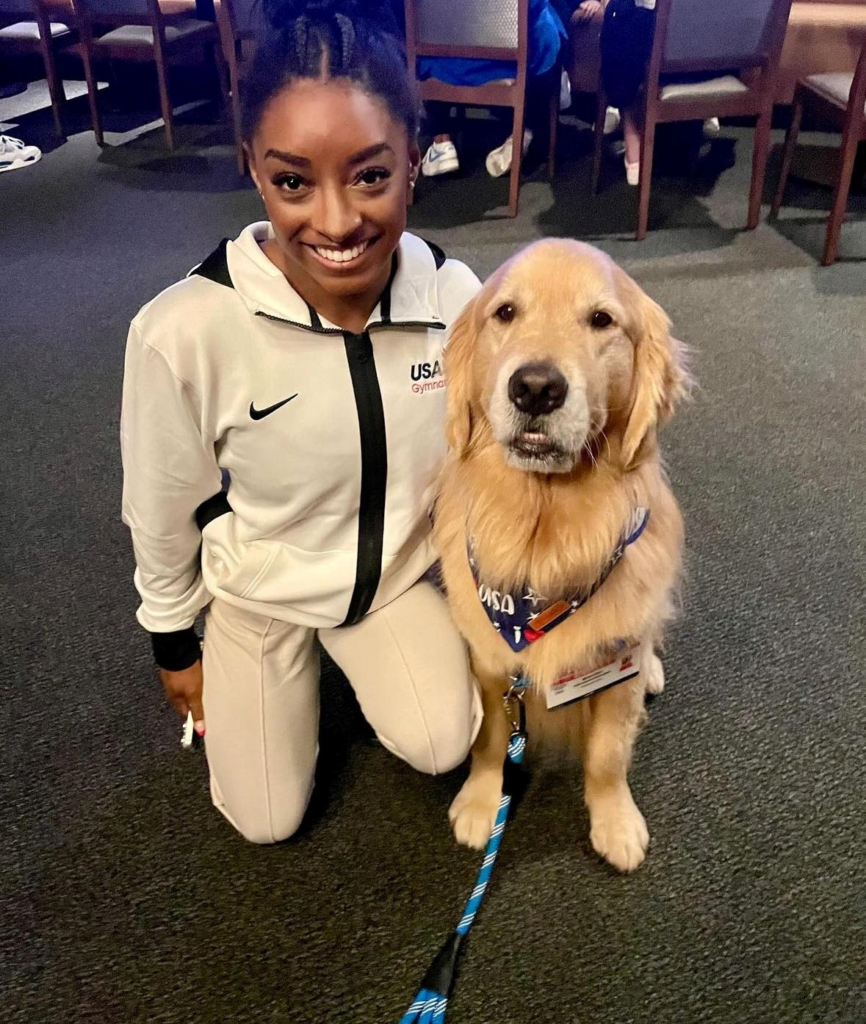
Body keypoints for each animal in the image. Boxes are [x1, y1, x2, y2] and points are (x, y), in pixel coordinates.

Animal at [438, 237, 687, 872]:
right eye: (505, 313)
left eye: (601, 320)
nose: (535, 387)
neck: (544, 537)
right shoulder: (490, 659)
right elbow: (490, 740)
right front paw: (482, 801)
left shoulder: (614, 667)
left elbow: (608, 755)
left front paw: (615, 820)